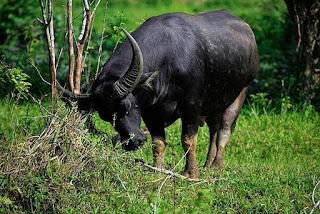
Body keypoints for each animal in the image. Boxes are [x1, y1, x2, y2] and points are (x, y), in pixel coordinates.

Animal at [59, 10, 260, 178]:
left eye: (126, 106)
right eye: (106, 117)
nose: (133, 141)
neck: (167, 66)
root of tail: (249, 32)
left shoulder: (192, 107)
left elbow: (188, 141)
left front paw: (190, 173)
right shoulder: (151, 113)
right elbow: (158, 143)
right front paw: (159, 169)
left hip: (240, 93)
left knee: (224, 131)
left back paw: (217, 166)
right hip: (215, 102)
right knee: (214, 128)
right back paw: (208, 164)